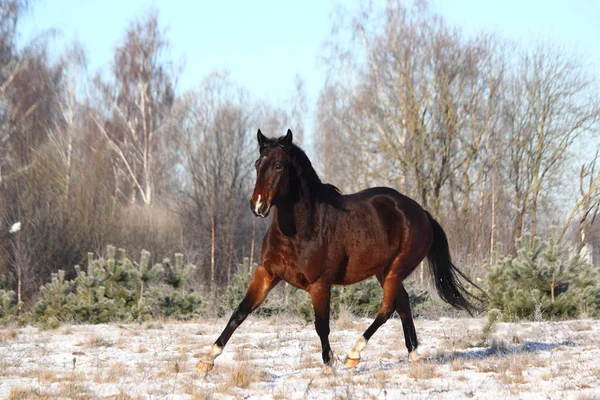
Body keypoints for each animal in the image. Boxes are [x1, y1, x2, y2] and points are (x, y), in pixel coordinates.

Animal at [196, 129, 482, 372]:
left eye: (279, 166)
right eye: (257, 164)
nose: (258, 206)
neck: (300, 230)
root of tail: (420, 212)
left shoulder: (320, 285)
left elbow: (322, 326)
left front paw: (328, 365)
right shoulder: (266, 273)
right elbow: (240, 312)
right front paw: (207, 359)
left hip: (397, 269)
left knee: (387, 308)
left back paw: (354, 354)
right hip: (384, 271)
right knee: (402, 304)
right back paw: (413, 356)